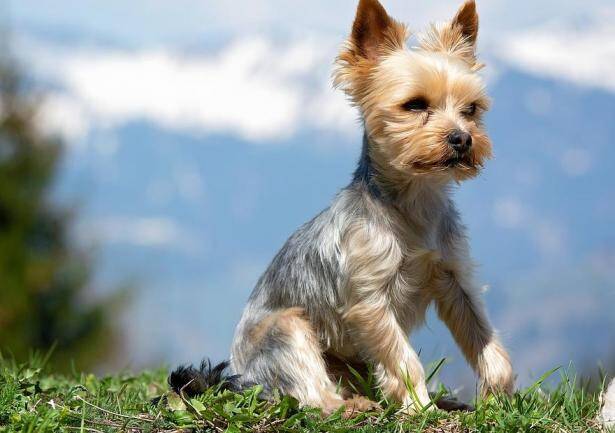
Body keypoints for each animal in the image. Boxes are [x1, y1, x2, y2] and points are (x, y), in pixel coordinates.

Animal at [171, 0, 516, 416]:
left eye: (472, 109)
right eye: (415, 104)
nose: (463, 139)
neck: (414, 203)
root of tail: (238, 375)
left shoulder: (454, 277)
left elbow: (485, 339)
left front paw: (497, 397)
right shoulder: (370, 300)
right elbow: (402, 359)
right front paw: (419, 408)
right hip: (286, 330)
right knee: (312, 396)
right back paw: (353, 405)